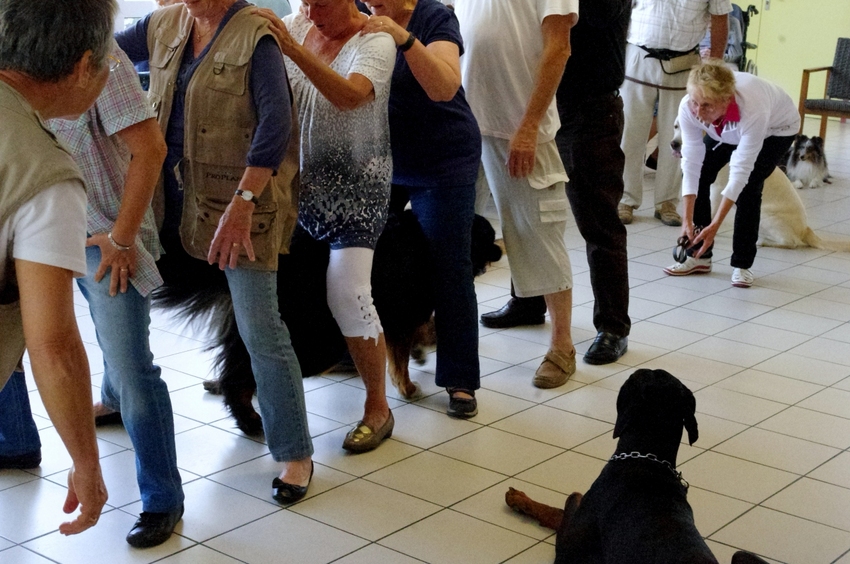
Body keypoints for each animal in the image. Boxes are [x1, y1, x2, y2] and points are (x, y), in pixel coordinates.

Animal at [152, 212, 500, 436]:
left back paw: (225, 394)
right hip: (313, 339)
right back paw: (250, 420)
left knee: (236, 365)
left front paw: (421, 351)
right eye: (489, 237)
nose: (500, 248)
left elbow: (419, 335)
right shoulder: (402, 311)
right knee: (242, 375)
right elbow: (405, 352)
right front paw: (409, 384)